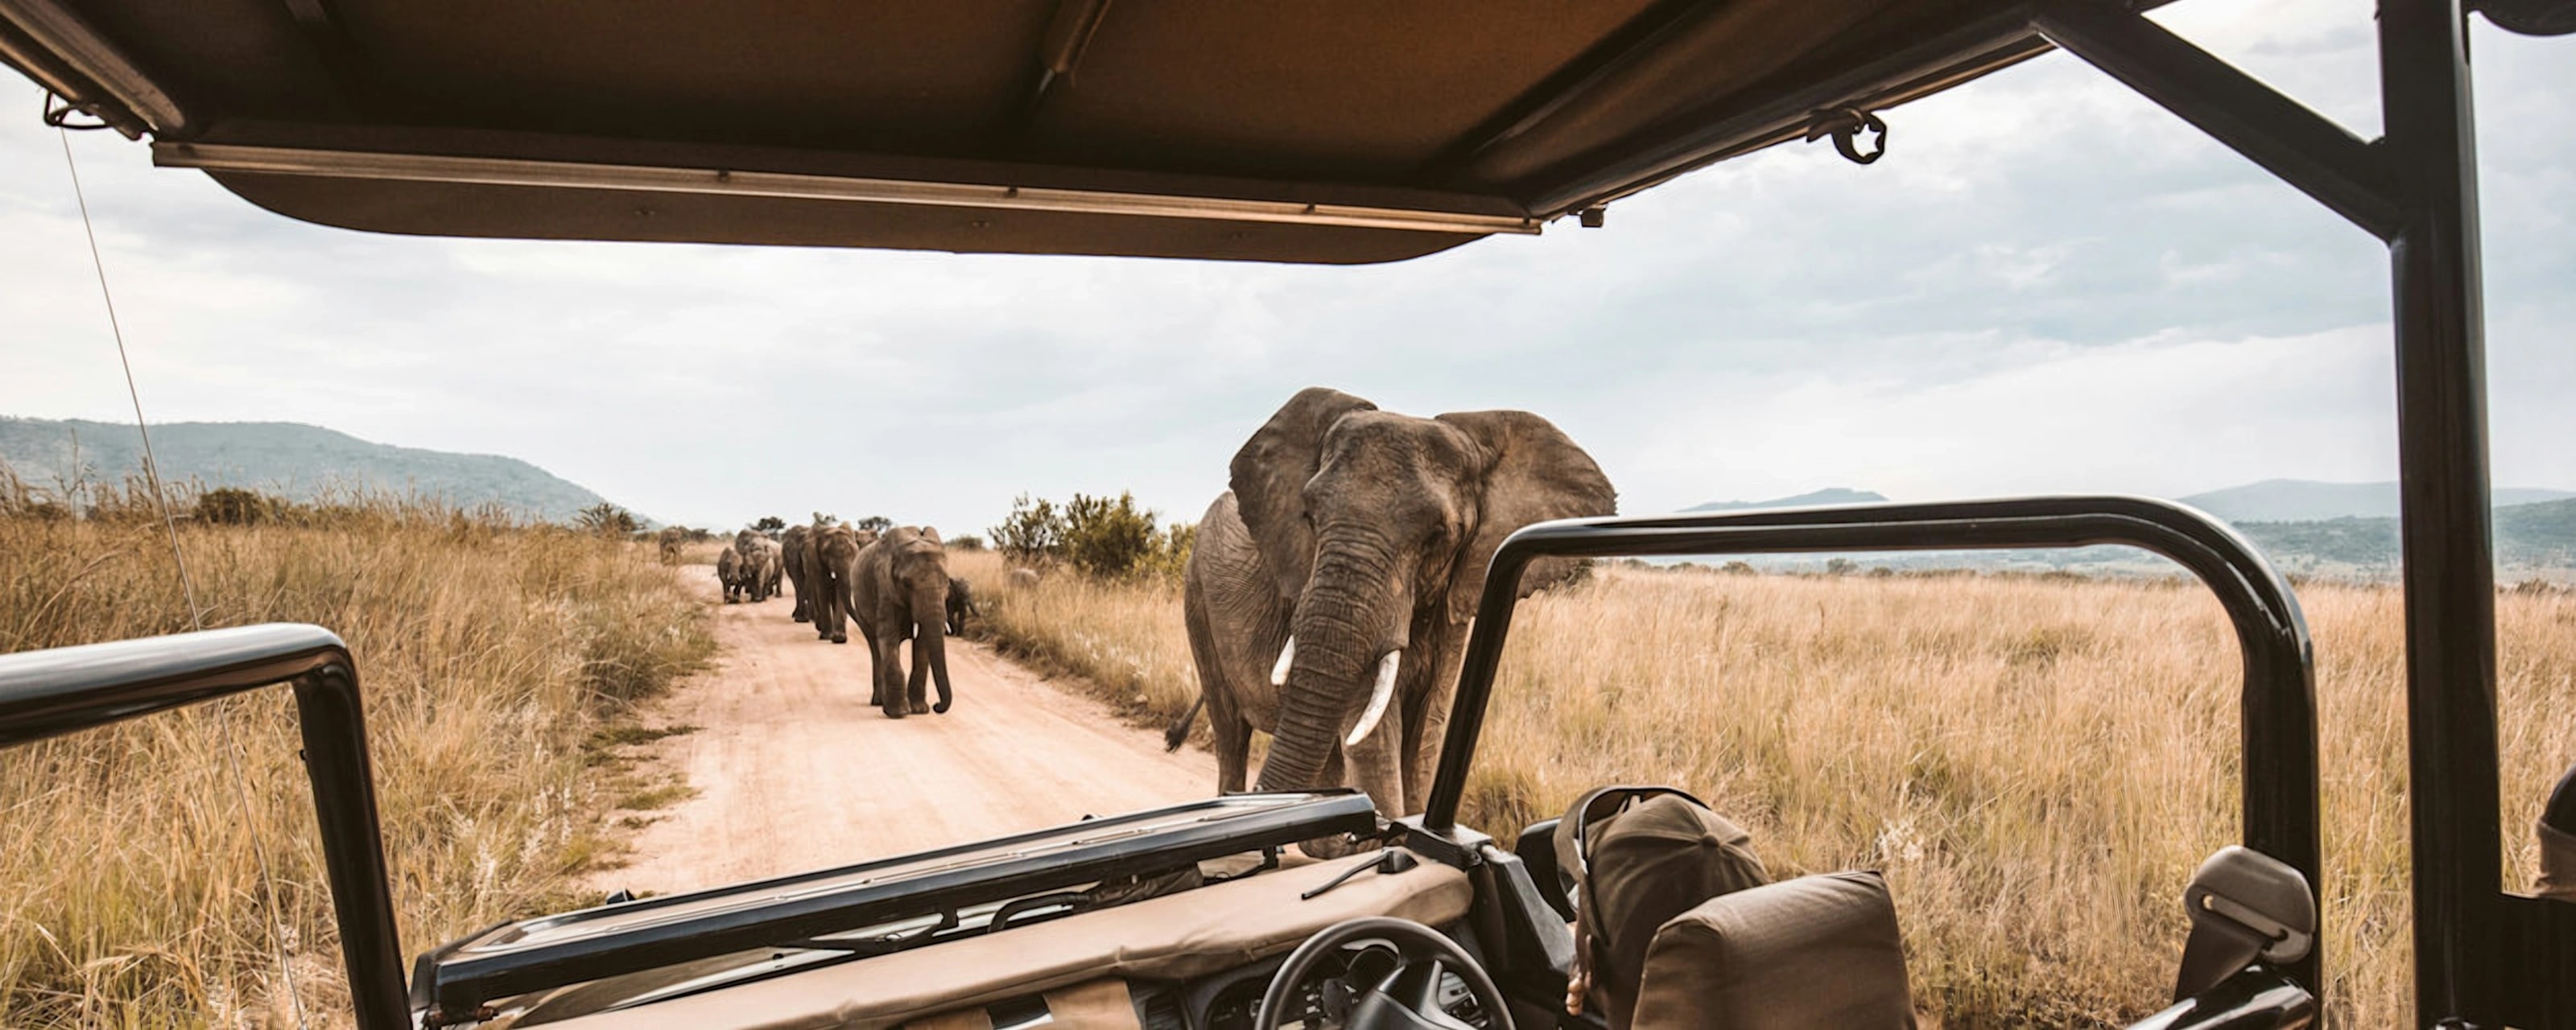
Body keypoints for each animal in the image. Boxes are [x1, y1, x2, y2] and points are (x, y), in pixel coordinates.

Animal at [852, 526, 956, 718]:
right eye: (907, 584)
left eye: (947, 583)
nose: (937, 706)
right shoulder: (885, 587)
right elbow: (888, 636)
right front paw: (898, 714)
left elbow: (922, 643)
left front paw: (919, 711)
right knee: (875, 646)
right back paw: (880, 702)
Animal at [1174, 387, 1615, 818]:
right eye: (1309, 517)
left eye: (1439, 535)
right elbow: (1374, 744)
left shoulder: (1455, 603)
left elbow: (1424, 738)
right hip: (1197, 600)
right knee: (1232, 735)